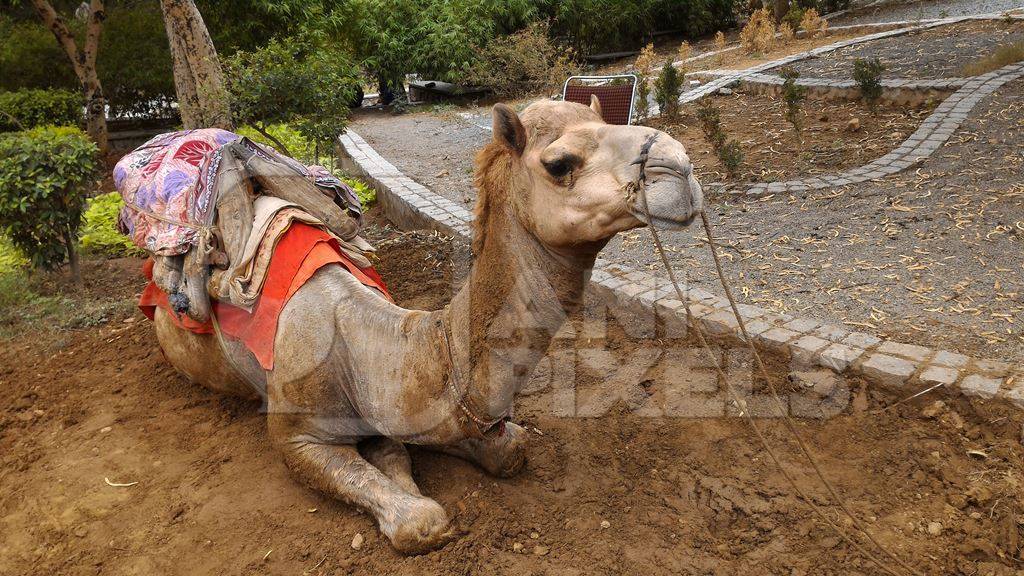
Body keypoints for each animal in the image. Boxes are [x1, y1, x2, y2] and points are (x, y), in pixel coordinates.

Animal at [153, 98, 704, 553]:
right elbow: (419, 516)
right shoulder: (294, 435)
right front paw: (413, 510)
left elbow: (490, 447)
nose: (679, 166)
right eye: (559, 163)